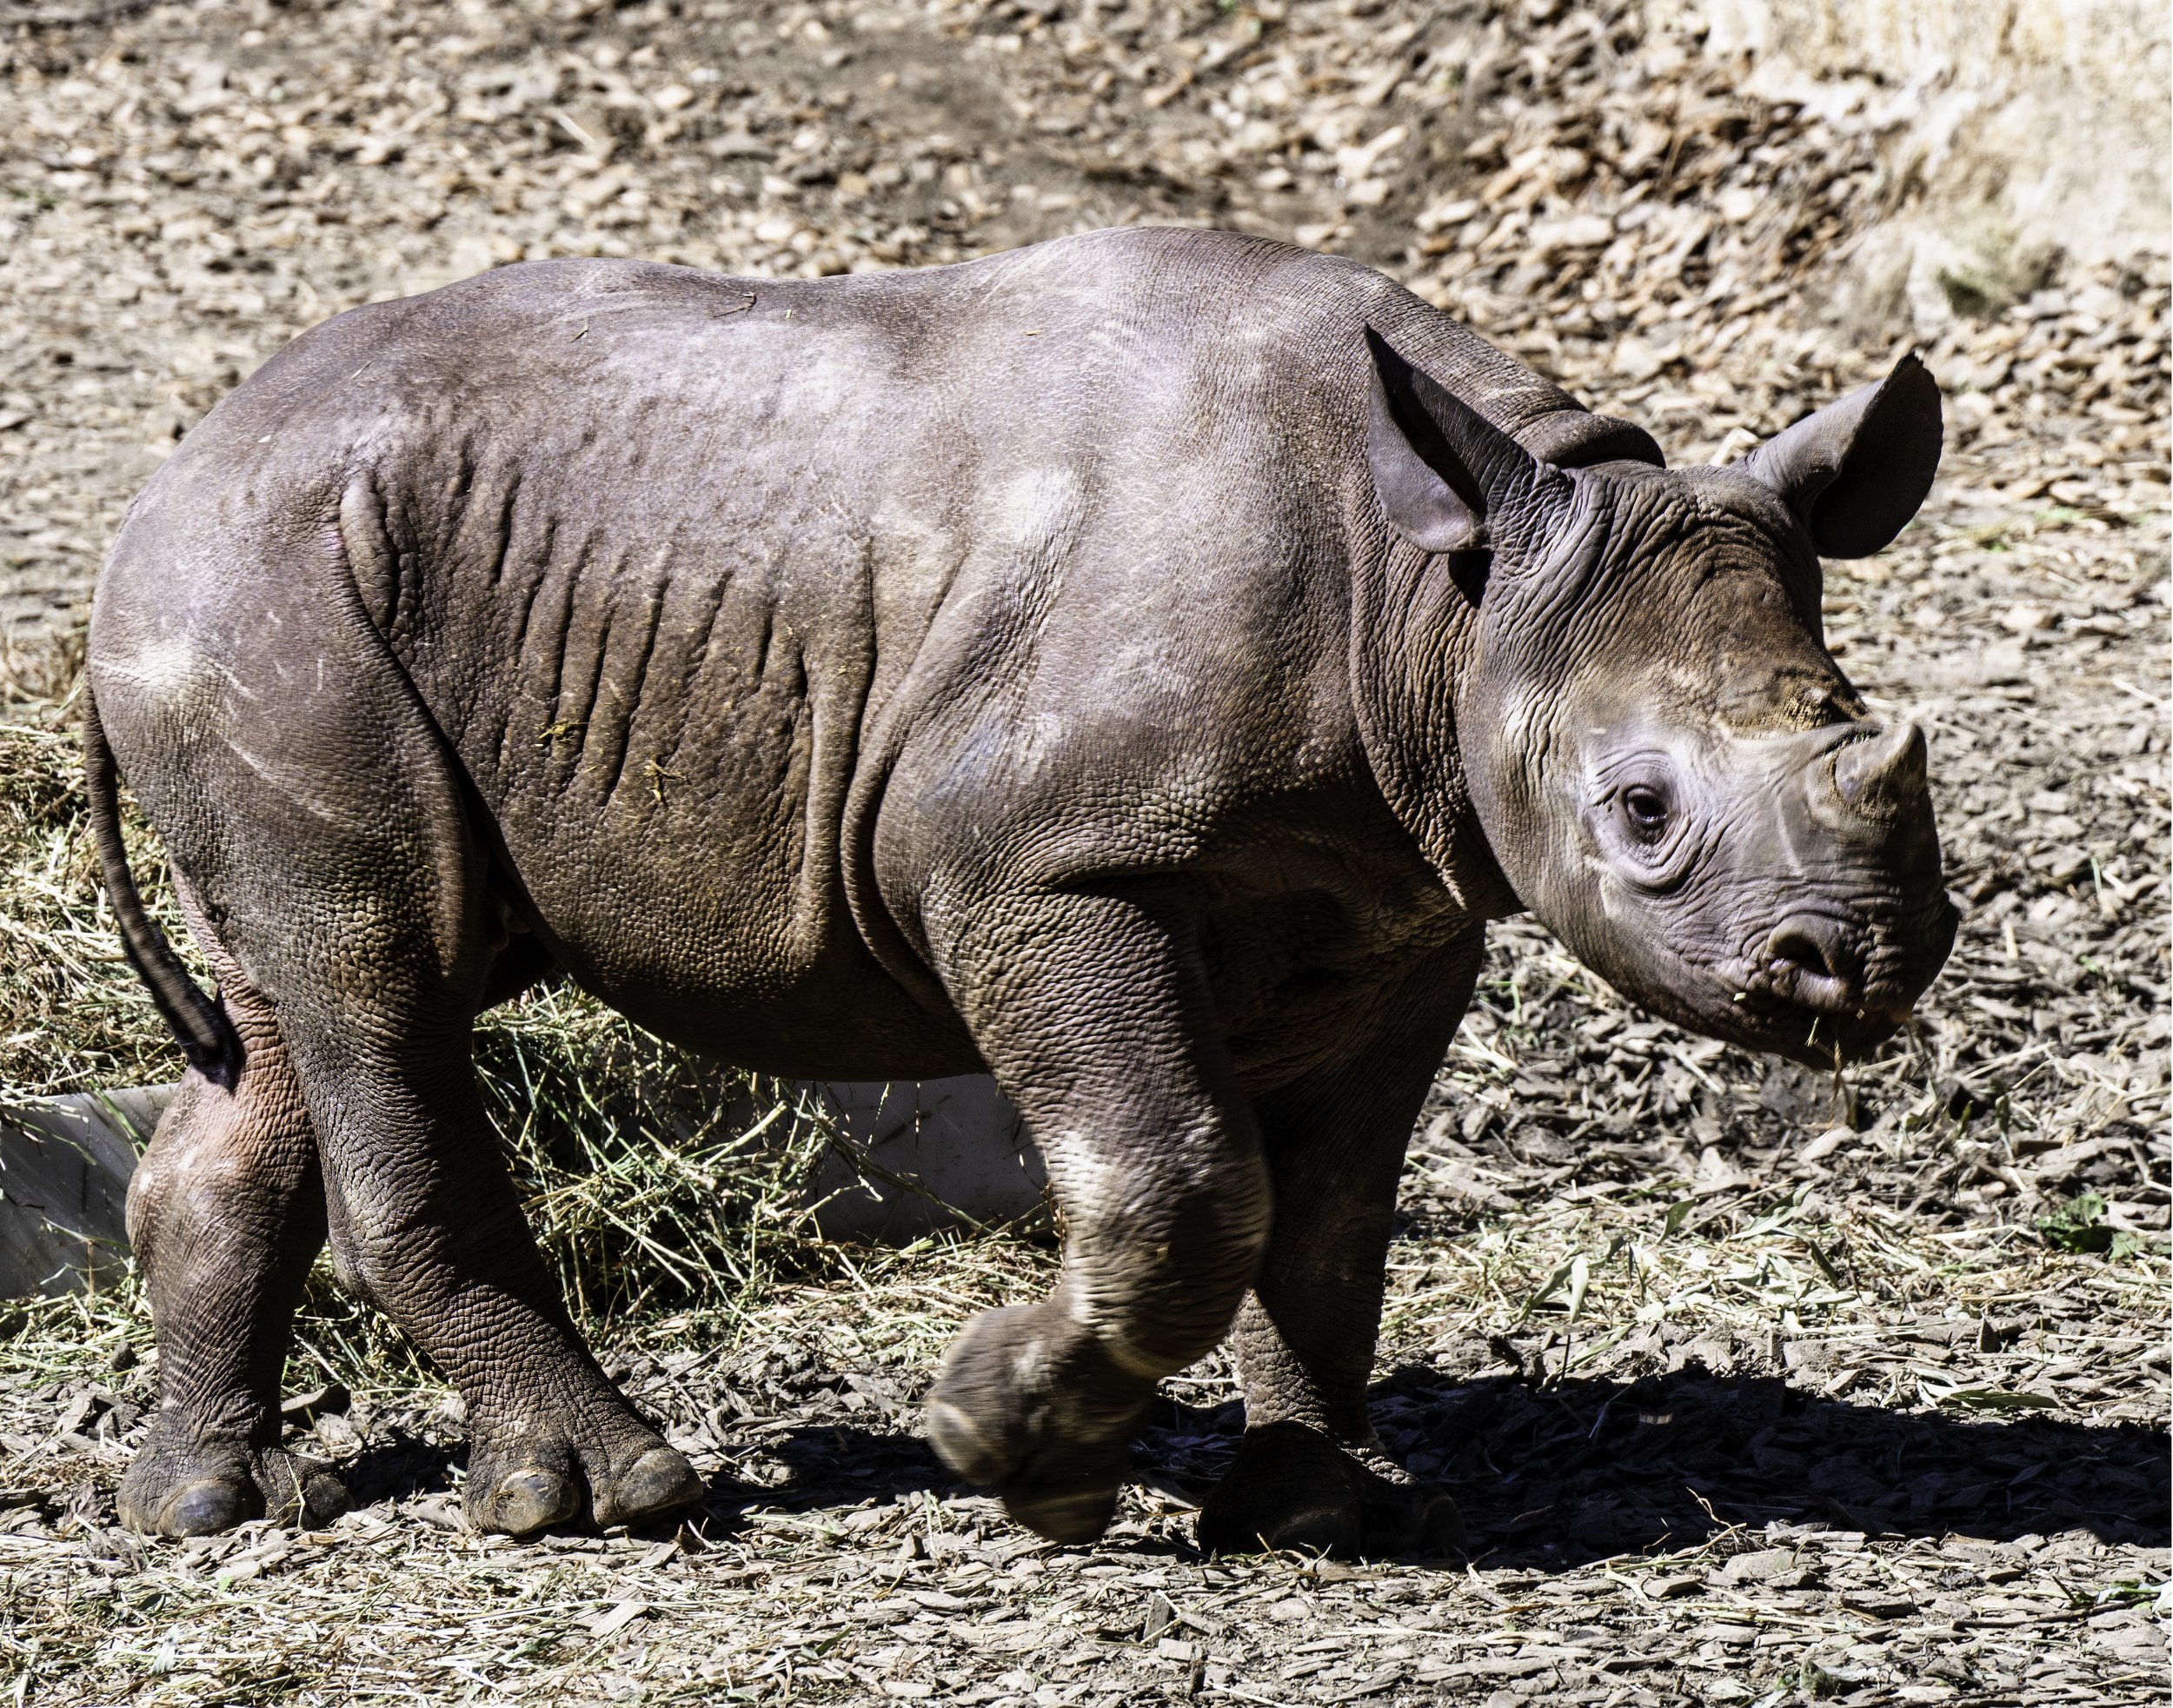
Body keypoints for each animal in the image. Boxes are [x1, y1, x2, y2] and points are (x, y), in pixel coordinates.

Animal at [85, 227, 1954, 1553]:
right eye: (1640, 812)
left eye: (1865, 734)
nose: (1857, 967)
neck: (1443, 605)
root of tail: (165, 479)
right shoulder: (1029, 860)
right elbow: (1179, 1179)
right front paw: (1013, 1451)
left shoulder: (1408, 905)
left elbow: (1334, 1217)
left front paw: (1314, 1511)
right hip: (262, 593)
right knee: (379, 976)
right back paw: (611, 1497)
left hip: (286, 590)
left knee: (298, 1011)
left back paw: (212, 1505)